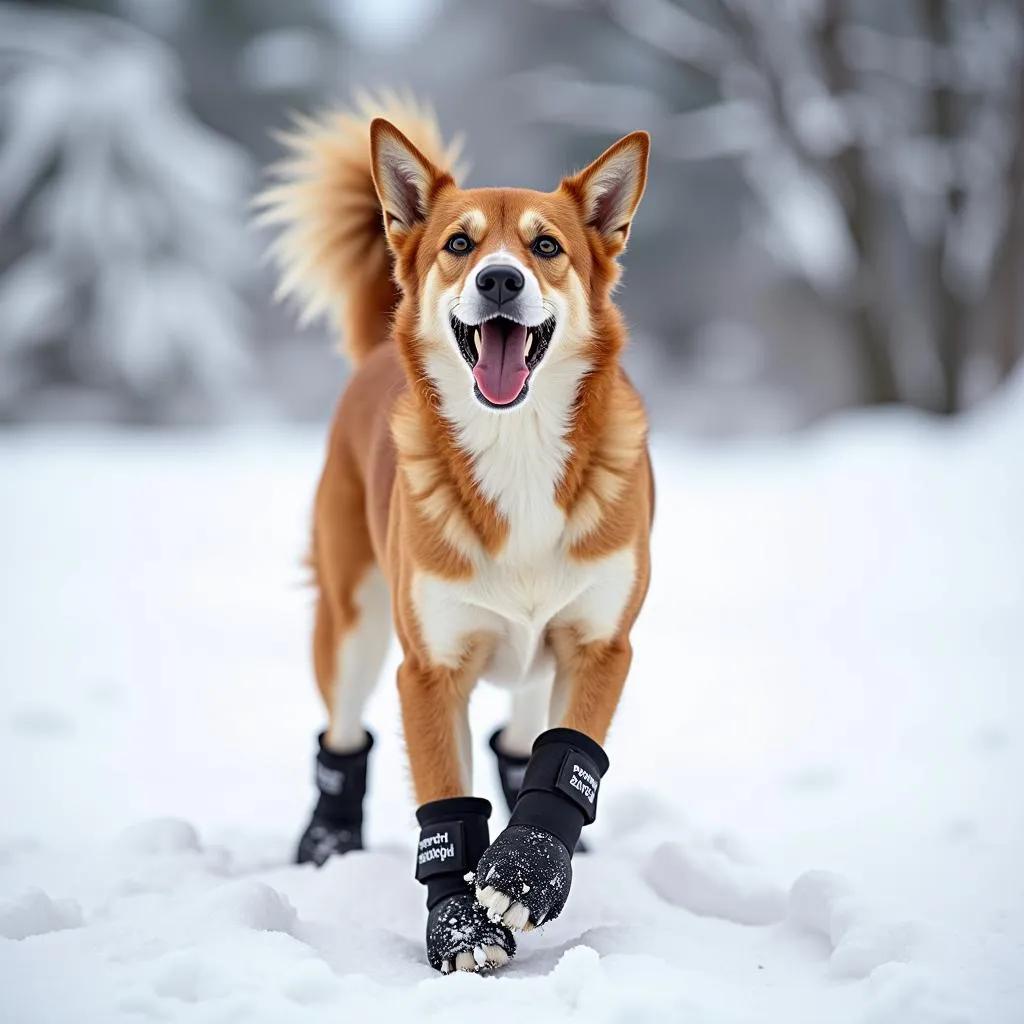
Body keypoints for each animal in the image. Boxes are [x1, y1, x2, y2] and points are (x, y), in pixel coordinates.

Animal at [258, 96, 655, 974]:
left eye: (546, 246)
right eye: (460, 244)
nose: (499, 278)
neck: (517, 449)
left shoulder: (600, 643)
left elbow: (567, 754)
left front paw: (528, 870)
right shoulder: (429, 671)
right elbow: (445, 801)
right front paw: (462, 923)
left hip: (535, 654)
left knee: (522, 737)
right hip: (352, 625)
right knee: (342, 732)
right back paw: (327, 843)